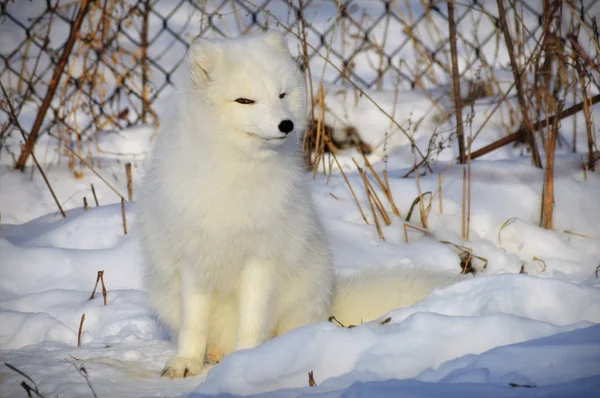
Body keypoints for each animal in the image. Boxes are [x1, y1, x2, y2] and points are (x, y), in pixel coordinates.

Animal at [138, 32, 462, 378]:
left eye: (282, 94)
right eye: (244, 101)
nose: (287, 124)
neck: (236, 174)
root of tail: (329, 299)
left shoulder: (262, 258)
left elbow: (253, 320)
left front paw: (246, 360)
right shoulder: (193, 259)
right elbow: (194, 322)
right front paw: (186, 362)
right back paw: (213, 354)